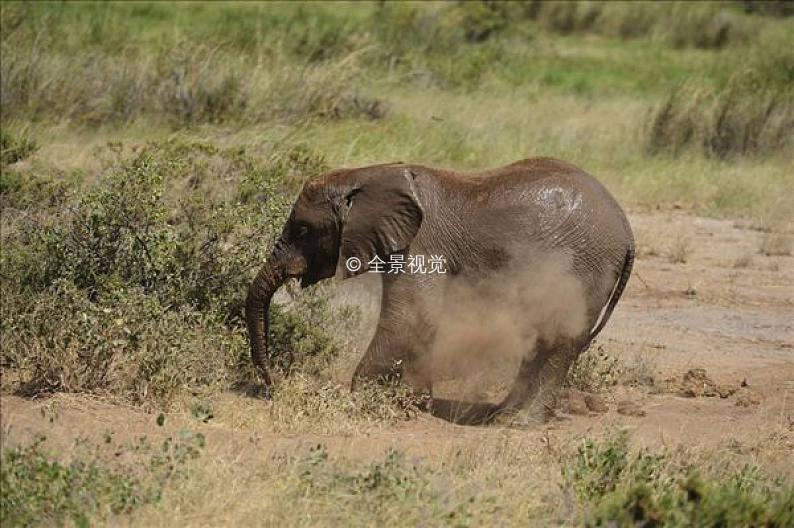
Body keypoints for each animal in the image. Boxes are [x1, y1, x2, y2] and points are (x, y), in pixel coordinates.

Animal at [244, 157, 636, 424]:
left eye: (303, 230)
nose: (273, 387)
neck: (370, 174)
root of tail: (626, 226)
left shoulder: (422, 244)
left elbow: (409, 319)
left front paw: (360, 402)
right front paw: (414, 403)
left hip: (585, 268)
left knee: (560, 340)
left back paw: (520, 423)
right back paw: (501, 415)